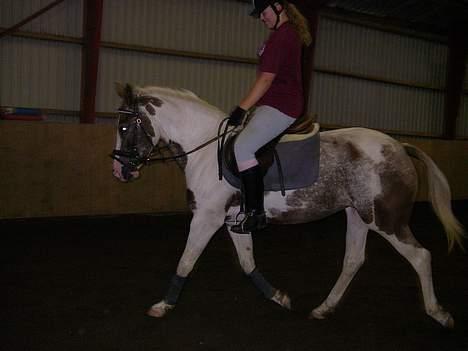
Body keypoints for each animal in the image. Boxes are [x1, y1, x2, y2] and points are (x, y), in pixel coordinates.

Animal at [110, 82, 464, 330]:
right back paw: (323, 308)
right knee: (353, 260)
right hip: (358, 215)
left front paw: (162, 306)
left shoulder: (207, 218)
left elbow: (186, 261)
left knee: (421, 256)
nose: (119, 171)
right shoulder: (233, 221)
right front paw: (279, 297)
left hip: (386, 220)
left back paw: (439, 314)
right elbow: (247, 263)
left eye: (125, 127)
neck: (207, 148)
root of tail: (400, 146)